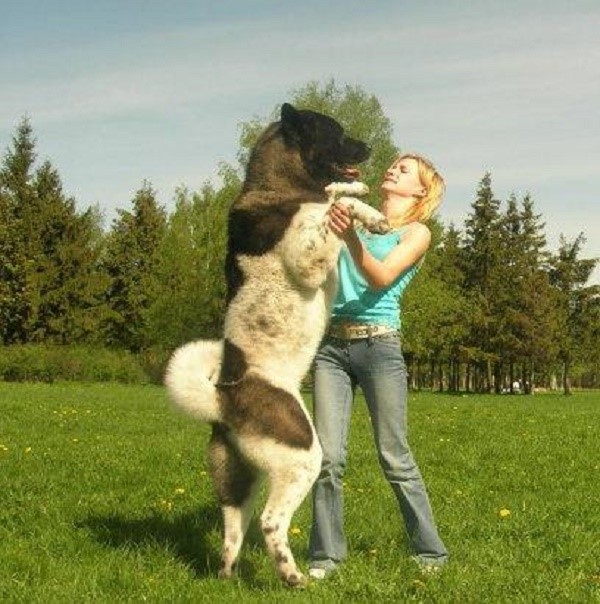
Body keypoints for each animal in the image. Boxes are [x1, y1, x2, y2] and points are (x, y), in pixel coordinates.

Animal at [164, 104, 390, 584]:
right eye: (337, 133)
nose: (367, 148)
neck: (278, 188)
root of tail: (222, 400)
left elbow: (337, 197)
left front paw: (369, 206)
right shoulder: (308, 258)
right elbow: (332, 205)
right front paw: (351, 197)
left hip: (237, 481)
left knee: (232, 534)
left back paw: (232, 576)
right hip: (302, 454)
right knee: (271, 522)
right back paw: (292, 576)